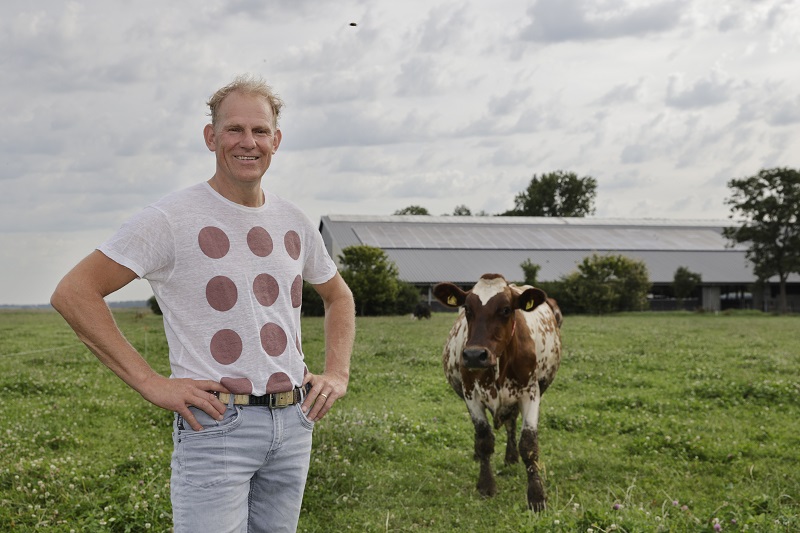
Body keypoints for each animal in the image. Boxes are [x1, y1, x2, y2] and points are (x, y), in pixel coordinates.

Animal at [432, 272, 564, 510]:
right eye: (468, 309)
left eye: (506, 309)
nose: (474, 355)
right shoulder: (471, 394)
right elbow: (484, 439)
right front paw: (486, 485)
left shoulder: (530, 392)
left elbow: (529, 444)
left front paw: (536, 496)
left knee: (511, 423)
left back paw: (511, 457)